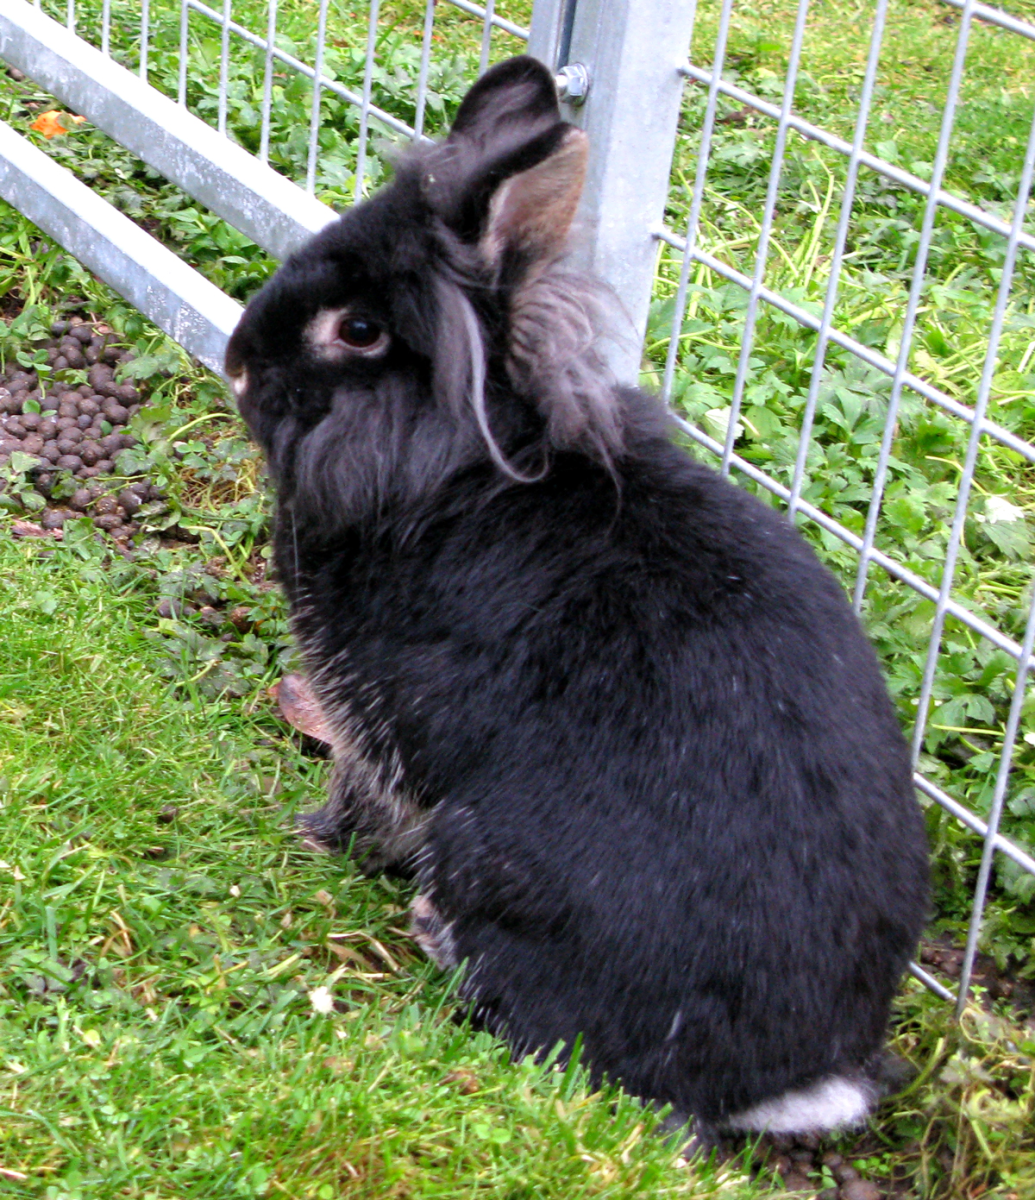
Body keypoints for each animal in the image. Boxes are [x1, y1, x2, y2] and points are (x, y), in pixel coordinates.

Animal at [225, 55, 930, 1138]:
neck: (455, 471)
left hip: (485, 854)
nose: (236, 364)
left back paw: (434, 932)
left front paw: (313, 834)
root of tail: (786, 1083)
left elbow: (363, 795)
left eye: (359, 330)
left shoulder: (386, 723)